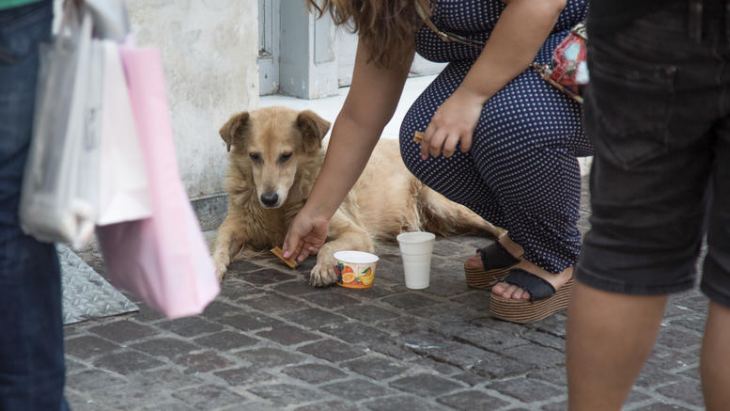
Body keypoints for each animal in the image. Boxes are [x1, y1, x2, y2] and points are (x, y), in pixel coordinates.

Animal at [212, 106, 500, 286]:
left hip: (443, 205)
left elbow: (328, 247)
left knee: (492, 224)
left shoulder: (356, 232)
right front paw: (213, 269)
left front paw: (325, 268)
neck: (279, 214)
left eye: (286, 156)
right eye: (254, 156)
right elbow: (219, 247)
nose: (268, 199)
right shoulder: (233, 228)